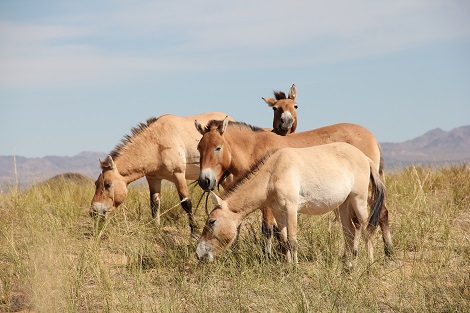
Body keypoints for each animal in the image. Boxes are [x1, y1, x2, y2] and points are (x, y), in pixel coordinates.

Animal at [89, 112, 233, 236]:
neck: (156, 144)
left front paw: (194, 232)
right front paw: (156, 228)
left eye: (108, 185)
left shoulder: (178, 175)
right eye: (96, 183)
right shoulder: (153, 179)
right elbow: (154, 203)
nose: (93, 212)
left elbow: (186, 203)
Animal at [194, 117, 392, 256]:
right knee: (358, 224)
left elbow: (268, 230)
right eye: (199, 148)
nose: (205, 181)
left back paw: (387, 254)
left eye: (218, 148)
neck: (254, 149)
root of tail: (371, 137)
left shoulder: (270, 206)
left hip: (365, 194)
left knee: (379, 215)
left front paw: (268, 257)